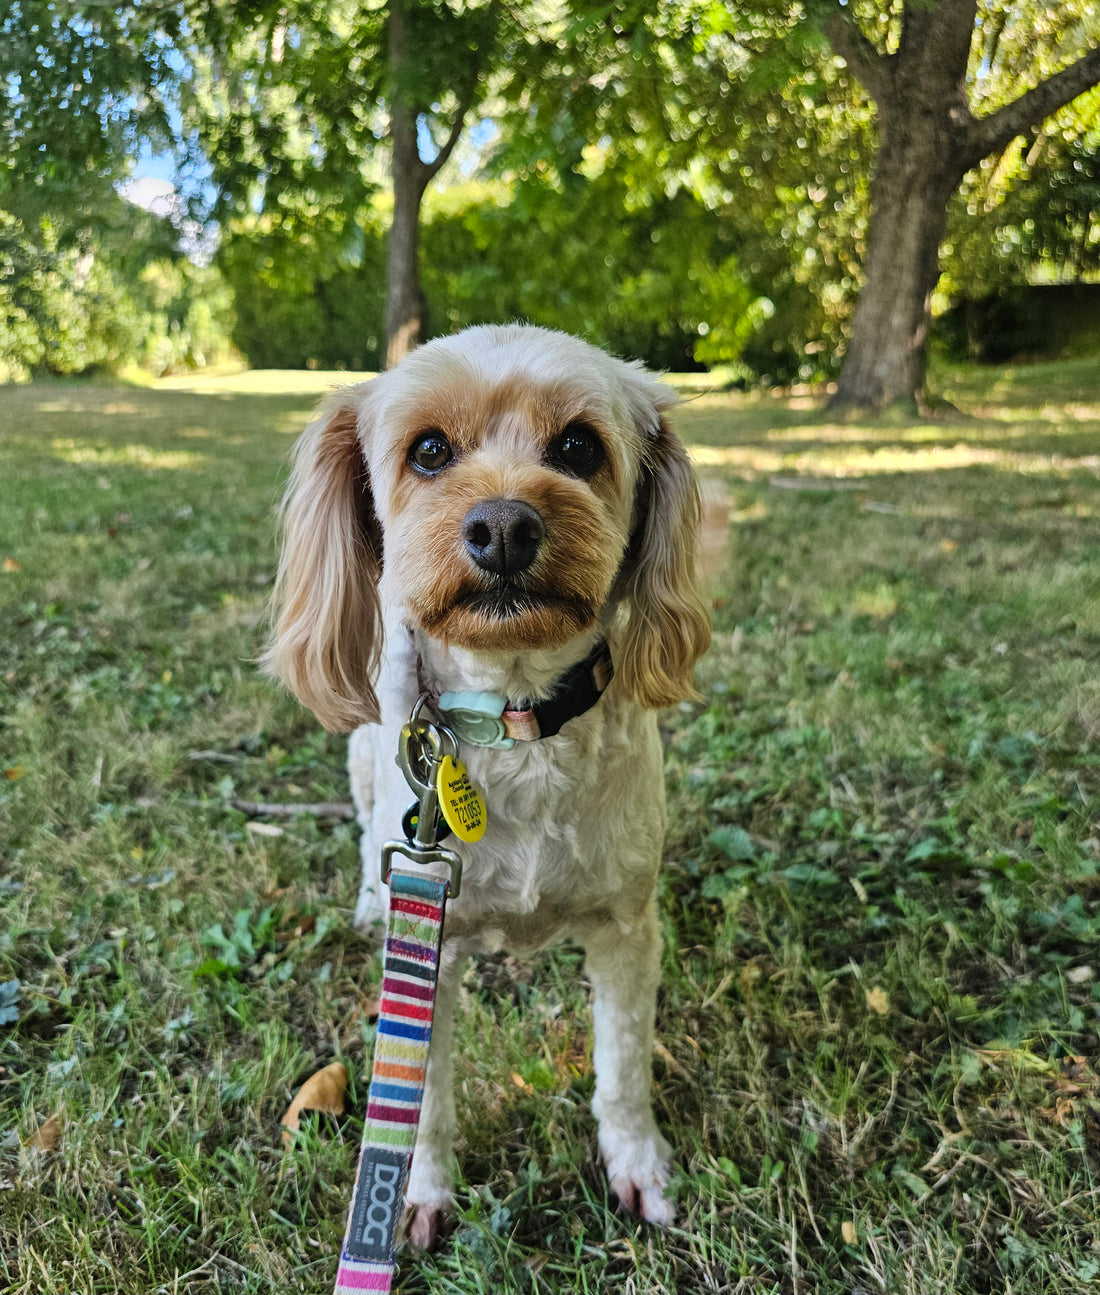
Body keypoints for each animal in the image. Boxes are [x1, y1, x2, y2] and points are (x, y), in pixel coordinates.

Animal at [265, 321, 710, 1243]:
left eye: (578, 446)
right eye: (430, 450)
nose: (504, 524)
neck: (514, 718)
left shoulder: (628, 928)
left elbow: (623, 1066)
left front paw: (637, 1164)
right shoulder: (428, 942)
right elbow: (422, 1093)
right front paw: (419, 1191)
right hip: (362, 761)